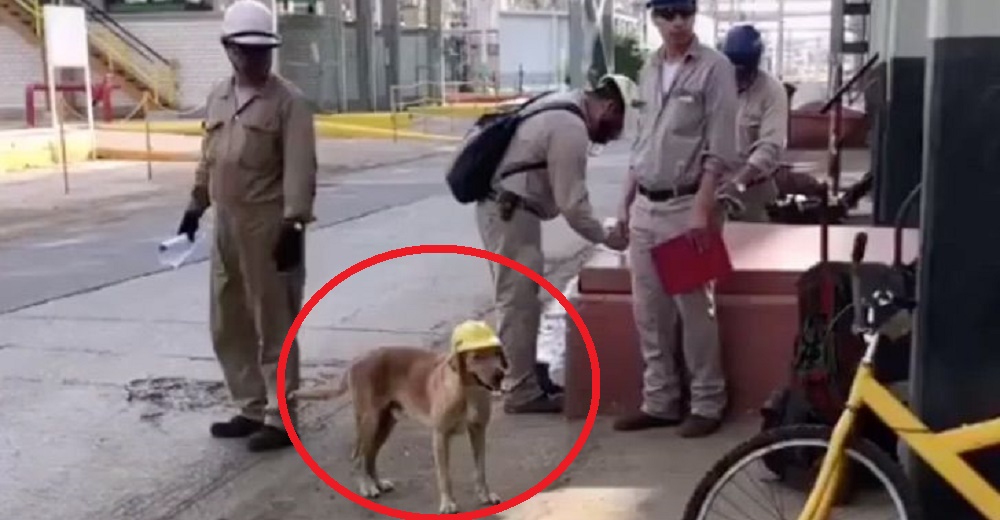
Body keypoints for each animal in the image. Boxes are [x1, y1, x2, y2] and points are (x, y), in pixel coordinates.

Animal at [290, 324, 508, 512]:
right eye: (476, 357)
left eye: (496, 353)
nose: (499, 375)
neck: (468, 390)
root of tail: (357, 359)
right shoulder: (440, 435)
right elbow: (444, 475)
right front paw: (447, 503)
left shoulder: (478, 431)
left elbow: (480, 469)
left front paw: (485, 495)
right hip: (369, 421)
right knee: (358, 456)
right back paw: (366, 487)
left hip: (385, 423)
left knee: (370, 456)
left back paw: (377, 484)